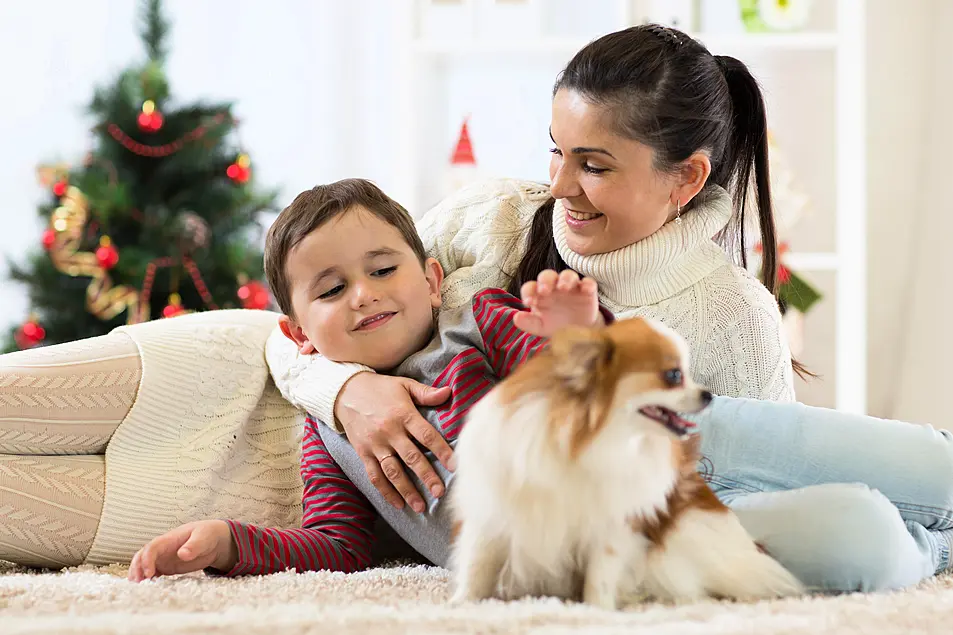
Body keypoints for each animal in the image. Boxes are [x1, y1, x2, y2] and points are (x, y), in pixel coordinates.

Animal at [448, 316, 804, 608]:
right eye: (673, 375)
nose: (708, 395)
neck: (591, 443)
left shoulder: (614, 523)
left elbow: (600, 574)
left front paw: (597, 609)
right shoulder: (496, 510)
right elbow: (478, 563)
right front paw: (462, 603)